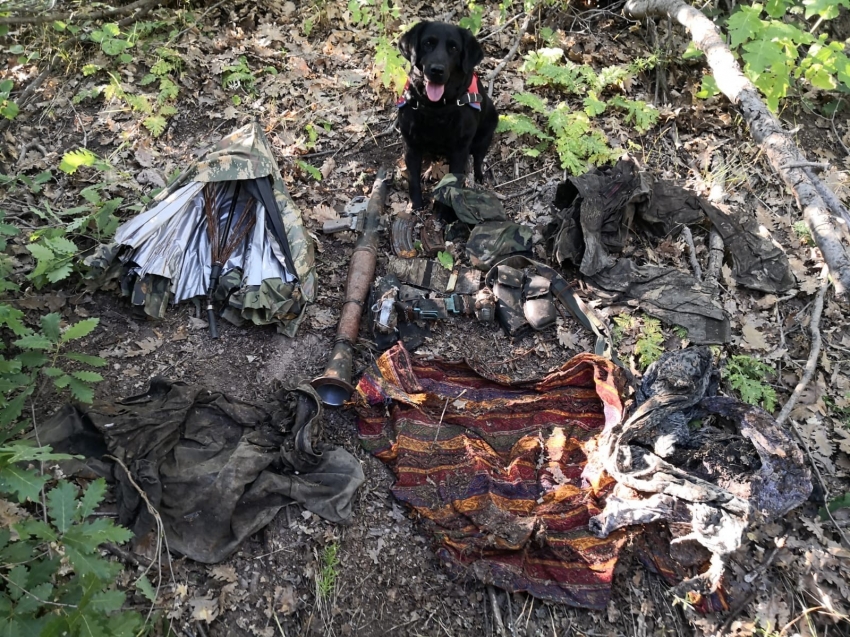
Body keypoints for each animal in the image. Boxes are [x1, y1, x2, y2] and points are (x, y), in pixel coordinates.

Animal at [396, 21, 496, 209]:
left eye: (454, 48)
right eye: (428, 43)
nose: (437, 70)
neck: (436, 108)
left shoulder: (459, 149)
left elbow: (452, 182)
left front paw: (445, 210)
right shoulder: (411, 145)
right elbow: (413, 179)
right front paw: (416, 204)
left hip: (485, 133)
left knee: (478, 158)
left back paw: (479, 176)